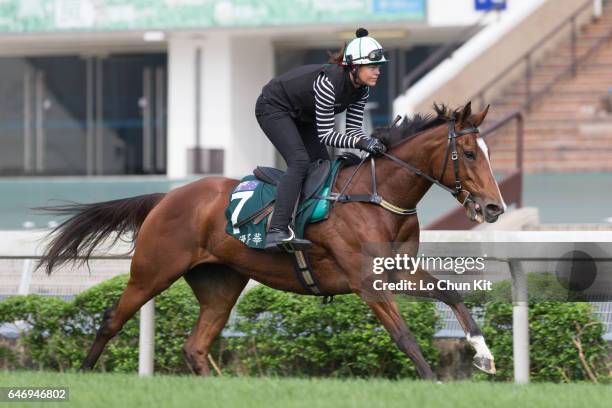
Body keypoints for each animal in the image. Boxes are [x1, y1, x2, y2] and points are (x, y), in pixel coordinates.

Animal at [39, 101, 506, 380]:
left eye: (487, 152)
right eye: (468, 154)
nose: (494, 208)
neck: (376, 197)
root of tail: (167, 196)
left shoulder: (398, 271)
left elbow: (451, 294)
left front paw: (484, 355)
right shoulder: (366, 281)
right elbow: (404, 336)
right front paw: (433, 382)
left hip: (220, 283)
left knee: (195, 347)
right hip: (152, 270)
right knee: (112, 320)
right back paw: (83, 372)